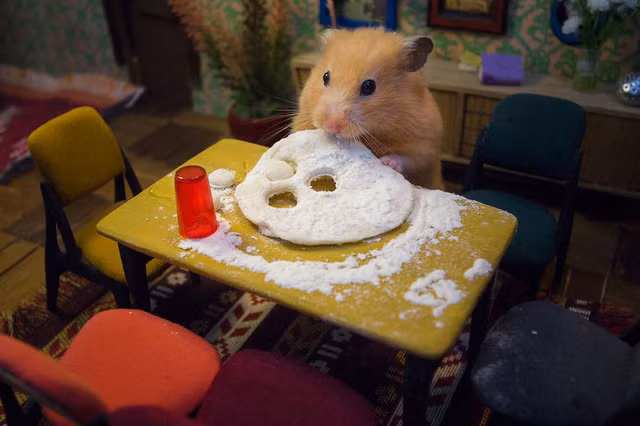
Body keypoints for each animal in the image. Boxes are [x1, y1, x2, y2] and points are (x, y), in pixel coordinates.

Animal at [292, 27, 444, 190]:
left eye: (369, 86)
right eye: (325, 77)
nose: (330, 127)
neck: (373, 132)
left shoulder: (425, 145)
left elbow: (409, 159)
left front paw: (386, 162)